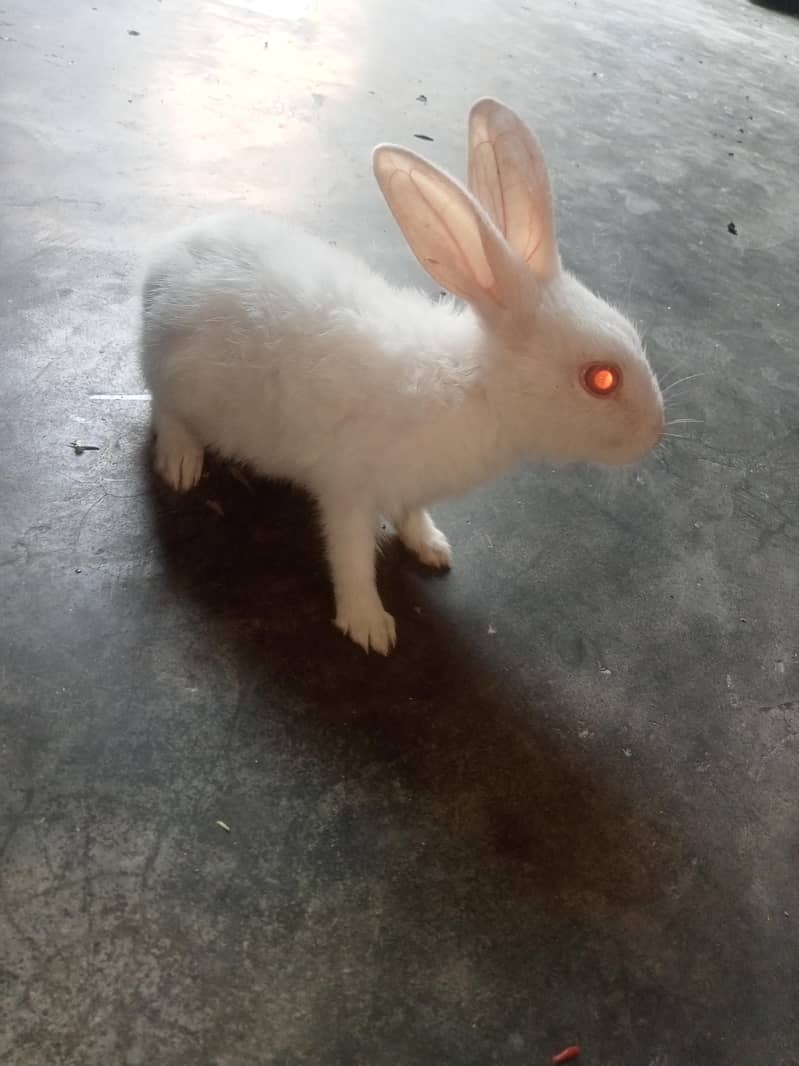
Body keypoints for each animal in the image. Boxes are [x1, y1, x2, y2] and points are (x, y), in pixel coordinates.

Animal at [140, 98, 664, 655]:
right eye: (602, 379)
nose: (655, 433)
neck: (475, 386)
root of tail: (163, 261)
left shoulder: (410, 487)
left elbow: (412, 516)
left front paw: (432, 546)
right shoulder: (348, 491)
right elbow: (350, 557)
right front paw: (370, 627)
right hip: (177, 378)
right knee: (164, 410)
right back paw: (181, 464)